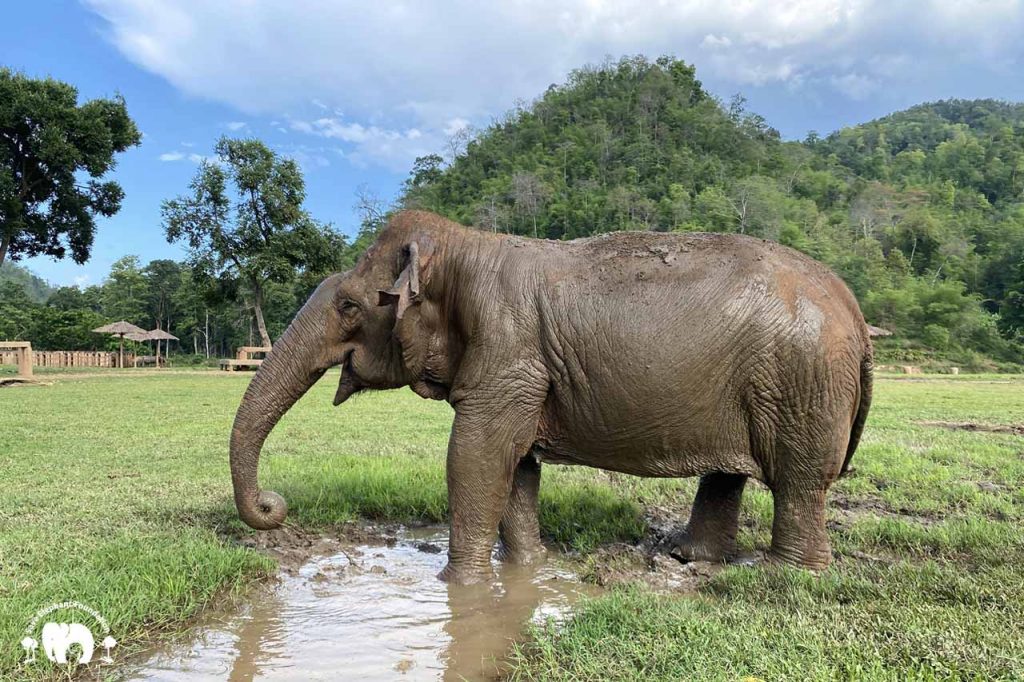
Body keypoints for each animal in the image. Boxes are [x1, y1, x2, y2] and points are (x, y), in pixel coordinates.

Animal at [232, 209, 872, 581]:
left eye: (348, 306)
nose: (273, 505)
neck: (465, 247)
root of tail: (852, 307)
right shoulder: (521, 369)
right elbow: (516, 465)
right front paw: (526, 570)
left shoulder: (508, 351)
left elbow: (475, 455)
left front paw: (460, 587)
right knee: (730, 474)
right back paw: (686, 558)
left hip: (800, 385)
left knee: (799, 482)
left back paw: (785, 575)